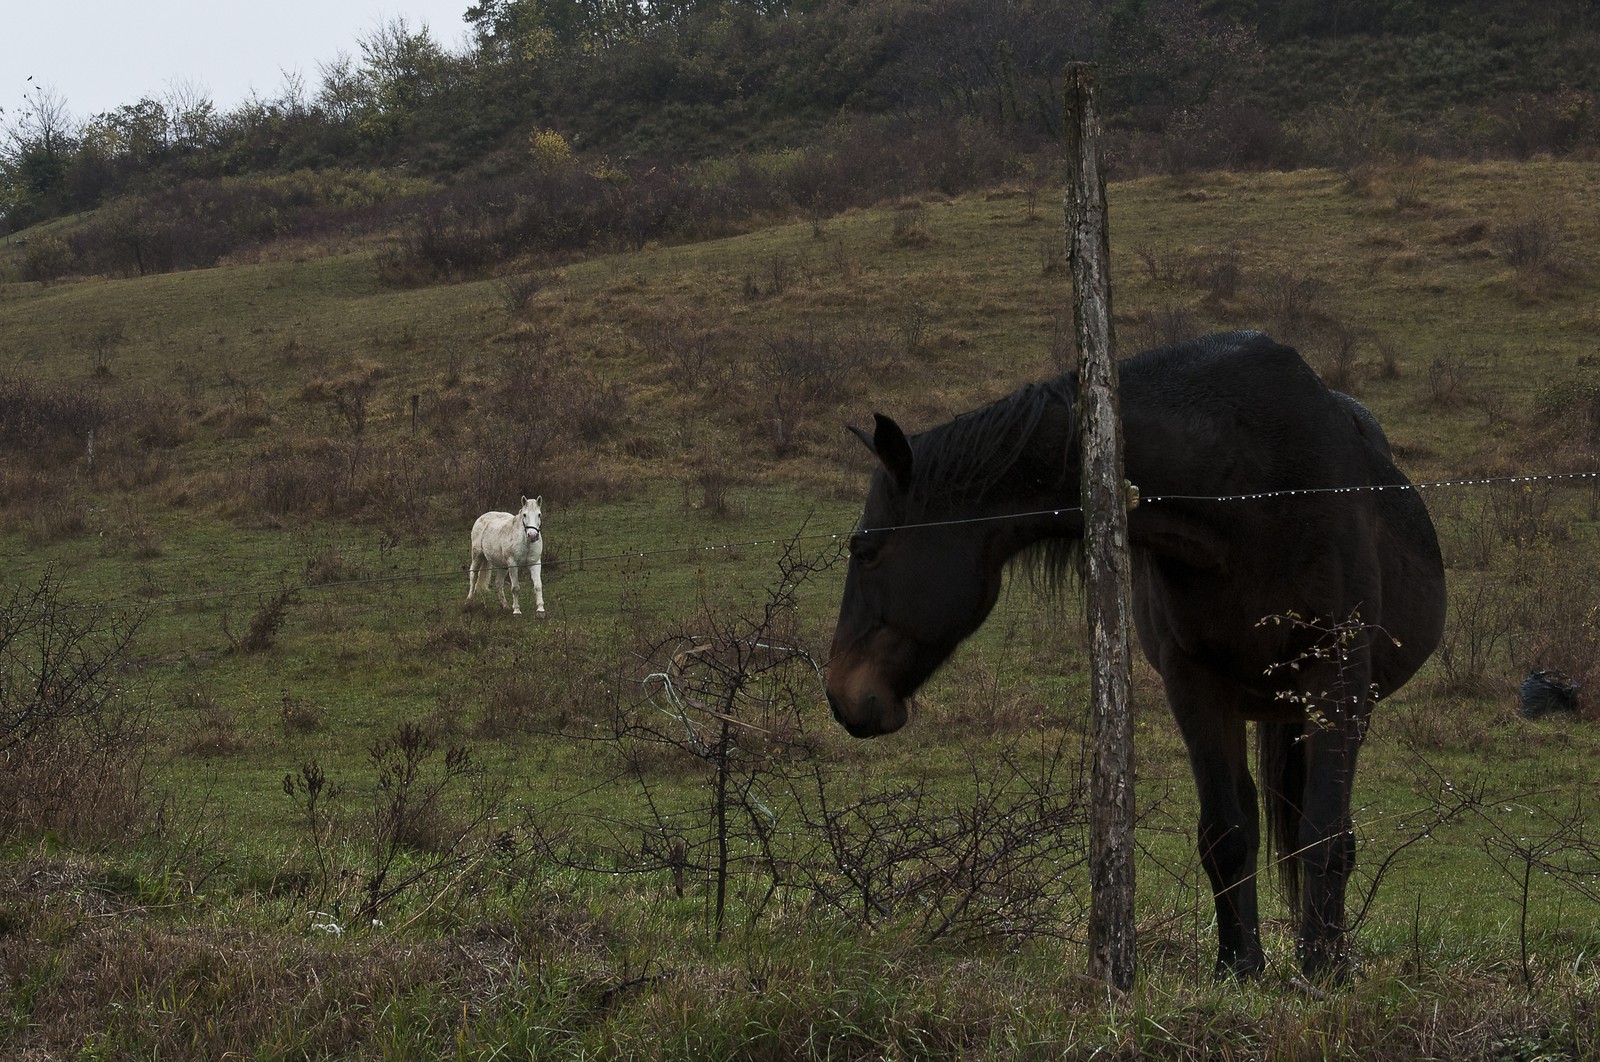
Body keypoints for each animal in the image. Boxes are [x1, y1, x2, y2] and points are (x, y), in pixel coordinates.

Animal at [825, 331, 1446, 982]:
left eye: (863, 549)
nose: (840, 693)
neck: (1251, 490)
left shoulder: (1337, 672)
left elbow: (1322, 833)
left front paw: (1323, 971)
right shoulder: (1194, 681)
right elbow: (1228, 831)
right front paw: (1239, 966)